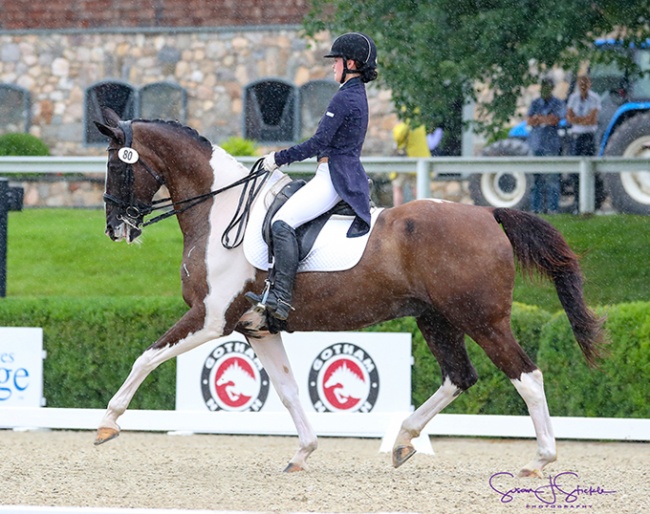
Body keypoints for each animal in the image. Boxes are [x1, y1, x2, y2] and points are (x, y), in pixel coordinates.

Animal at [91, 107, 604, 476]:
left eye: (117, 166)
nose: (115, 229)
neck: (221, 210)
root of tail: (487, 214)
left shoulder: (211, 317)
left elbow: (146, 357)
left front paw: (107, 424)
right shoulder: (256, 328)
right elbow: (288, 391)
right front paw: (303, 453)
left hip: (483, 320)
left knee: (527, 376)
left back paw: (539, 461)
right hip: (436, 318)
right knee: (459, 377)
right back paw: (403, 439)